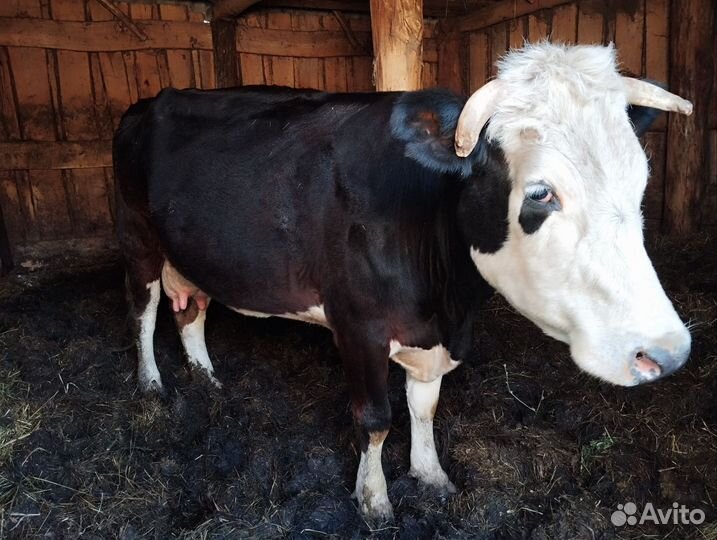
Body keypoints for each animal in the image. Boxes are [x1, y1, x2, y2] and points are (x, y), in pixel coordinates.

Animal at [113, 43, 693, 521]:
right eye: (540, 193)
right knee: (143, 309)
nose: (665, 352)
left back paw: (207, 379)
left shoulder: (434, 335)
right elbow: (375, 419)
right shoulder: (356, 325)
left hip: (194, 252)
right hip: (138, 239)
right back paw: (151, 384)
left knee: (191, 309)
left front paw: (430, 475)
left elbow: (425, 406)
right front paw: (374, 501)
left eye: (640, 182)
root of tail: (153, 100)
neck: (446, 301)